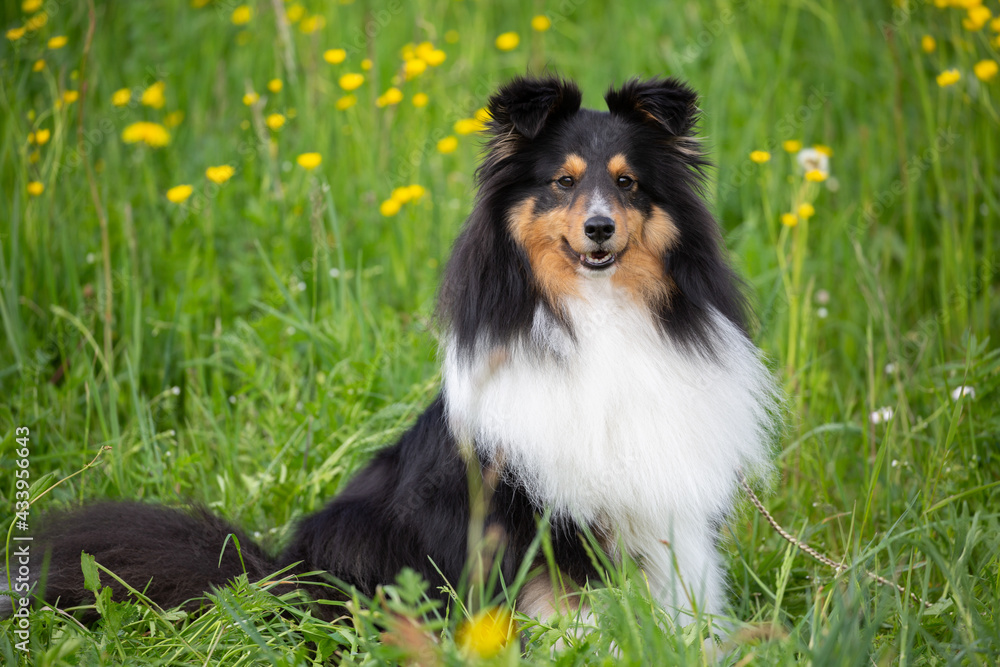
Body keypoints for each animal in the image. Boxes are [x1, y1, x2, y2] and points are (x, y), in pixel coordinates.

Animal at [31, 77, 776, 632]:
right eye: (562, 183)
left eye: (626, 183)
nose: (599, 228)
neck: (598, 313)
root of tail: (278, 577)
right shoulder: (537, 513)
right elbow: (568, 604)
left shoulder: (662, 509)